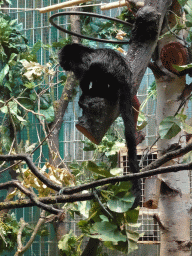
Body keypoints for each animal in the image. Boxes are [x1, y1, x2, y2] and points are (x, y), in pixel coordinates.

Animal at [59, 43, 142, 208]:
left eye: (65, 61)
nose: (62, 64)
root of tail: (124, 76)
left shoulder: (81, 66)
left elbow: (85, 79)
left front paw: (85, 94)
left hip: (109, 76)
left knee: (98, 78)